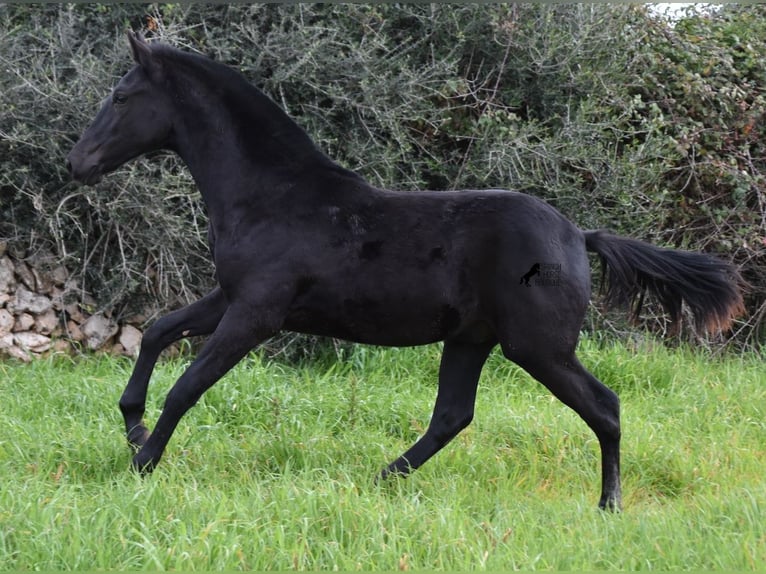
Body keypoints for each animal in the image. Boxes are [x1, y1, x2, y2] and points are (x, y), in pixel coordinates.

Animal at [67, 32, 752, 508]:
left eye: (122, 97)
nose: (77, 163)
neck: (273, 196)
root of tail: (578, 237)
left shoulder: (257, 314)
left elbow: (189, 384)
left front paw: (143, 462)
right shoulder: (230, 297)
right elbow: (158, 331)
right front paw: (132, 427)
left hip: (538, 347)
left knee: (604, 407)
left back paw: (608, 505)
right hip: (471, 340)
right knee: (452, 416)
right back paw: (380, 478)